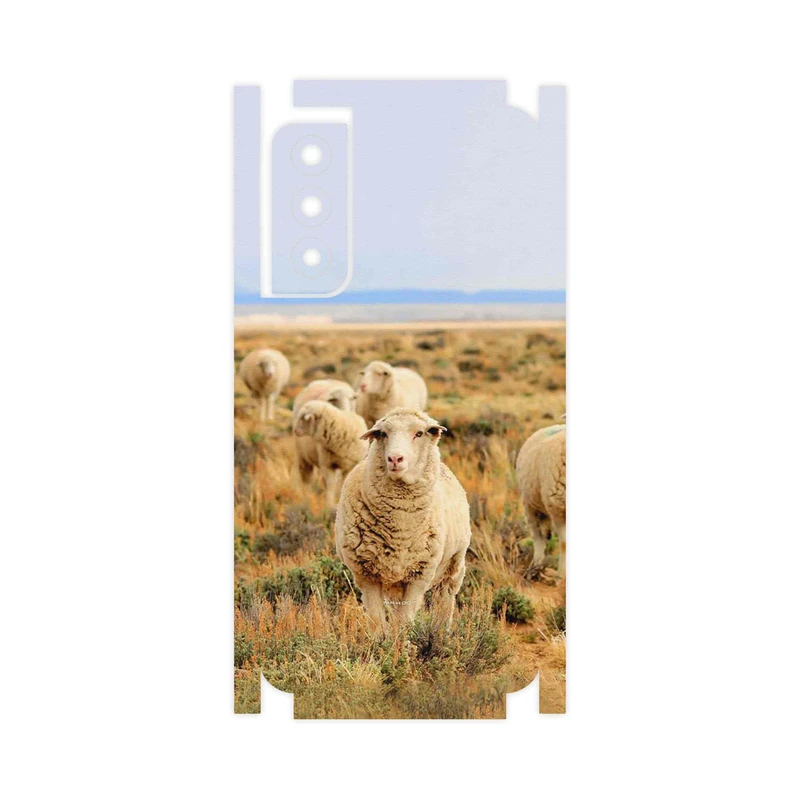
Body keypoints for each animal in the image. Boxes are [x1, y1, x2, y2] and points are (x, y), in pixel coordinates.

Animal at [335, 408, 471, 633]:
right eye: (383, 434)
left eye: (419, 433)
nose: (395, 458)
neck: (400, 527)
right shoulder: (366, 575)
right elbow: (377, 621)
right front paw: (382, 641)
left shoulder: (419, 575)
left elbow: (405, 621)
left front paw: (404, 641)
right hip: (394, 582)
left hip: (453, 566)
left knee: (444, 599)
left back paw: (441, 632)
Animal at [516, 423, 566, 576]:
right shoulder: (558, 510)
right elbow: (564, 544)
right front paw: (561, 574)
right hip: (530, 506)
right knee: (538, 537)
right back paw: (536, 566)